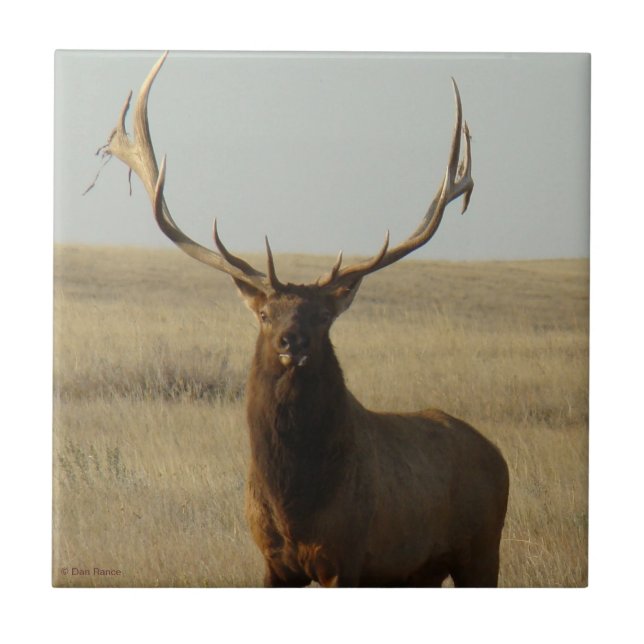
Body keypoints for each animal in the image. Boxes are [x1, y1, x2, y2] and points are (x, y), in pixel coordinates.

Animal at [98, 52, 509, 587]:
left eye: (324, 317)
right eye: (265, 313)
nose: (293, 343)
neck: (294, 505)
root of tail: (500, 458)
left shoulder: (347, 556)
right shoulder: (274, 561)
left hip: (482, 551)